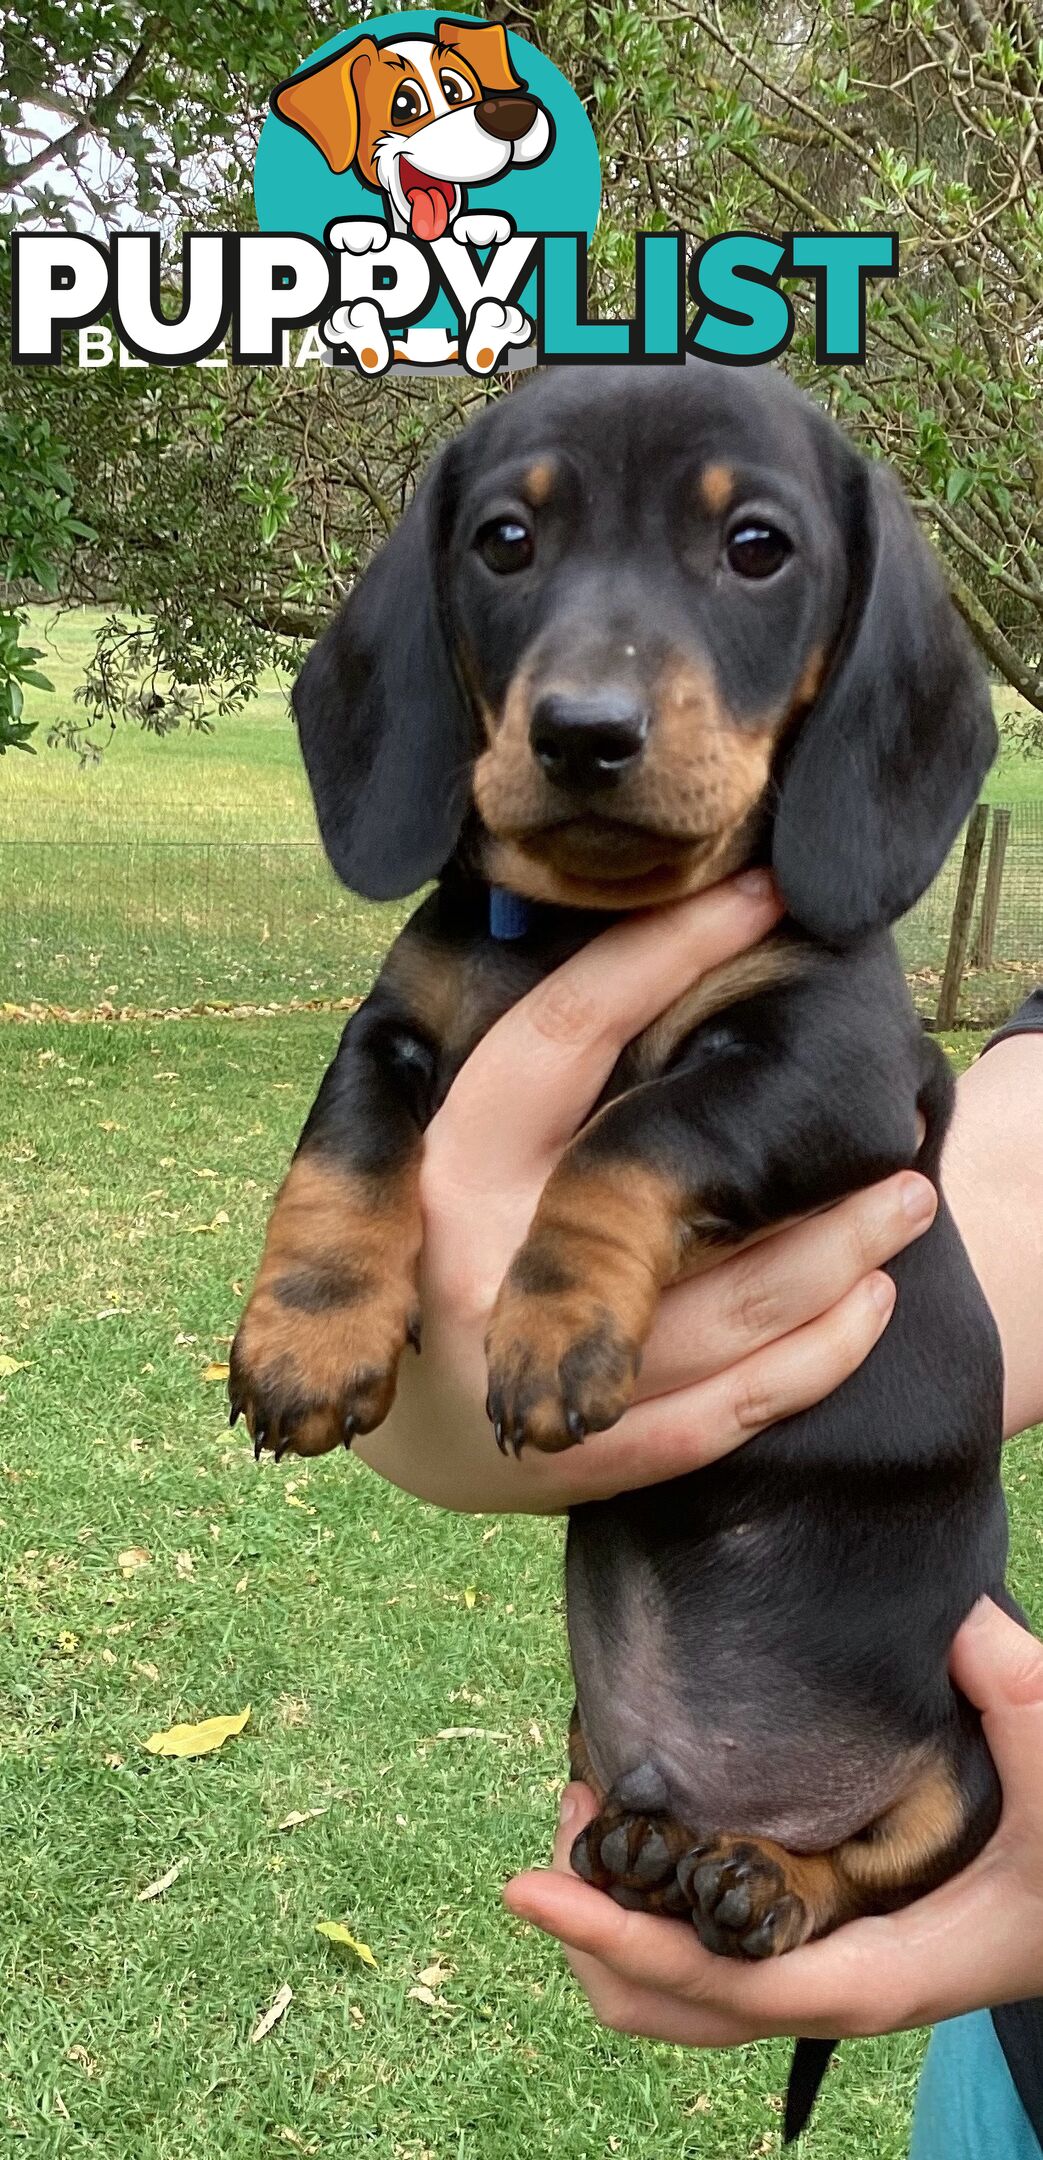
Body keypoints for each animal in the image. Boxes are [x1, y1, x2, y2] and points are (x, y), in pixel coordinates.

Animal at [231, 367, 1010, 2125]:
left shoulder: (827, 1067)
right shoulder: (397, 1023)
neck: (582, 929)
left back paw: (754, 1884)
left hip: (969, 1757)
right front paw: (306, 1332)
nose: (582, 733)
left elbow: (631, 1133)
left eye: (755, 546)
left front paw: (549, 1326)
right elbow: (344, 1148)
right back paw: (666, 1857)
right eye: (503, 540)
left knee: (870, 1877)